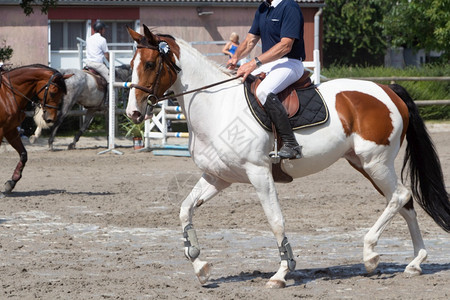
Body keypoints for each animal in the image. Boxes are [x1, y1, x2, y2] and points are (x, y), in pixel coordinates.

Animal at [0, 63, 72, 197]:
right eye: (53, 92)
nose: (51, 119)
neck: (7, 94)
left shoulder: (10, 130)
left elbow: (23, 154)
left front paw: (11, 183)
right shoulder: (1, 130)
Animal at [125, 26, 448, 288]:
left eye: (150, 64)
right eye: (130, 65)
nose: (133, 113)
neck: (216, 107)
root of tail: (387, 90)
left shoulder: (259, 173)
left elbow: (276, 220)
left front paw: (282, 273)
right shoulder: (217, 178)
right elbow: (185, 210)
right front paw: (200, 266)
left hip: (376, 162)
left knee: (400, 196)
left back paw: (370, 254)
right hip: (363, 165)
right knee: (404, 201)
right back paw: (415, 262)